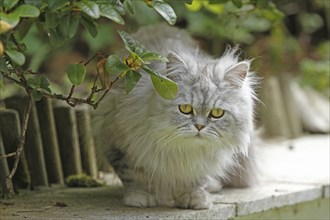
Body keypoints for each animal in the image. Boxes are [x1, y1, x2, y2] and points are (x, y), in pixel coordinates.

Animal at [93, 24, 258, 210]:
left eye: (217, 113)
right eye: (185, 109)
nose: (199, 126)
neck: (183, 150)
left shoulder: (201, 163)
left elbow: (196, 181)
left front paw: (195, 199)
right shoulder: (119, 145)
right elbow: (135, 177)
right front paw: (139, 198)